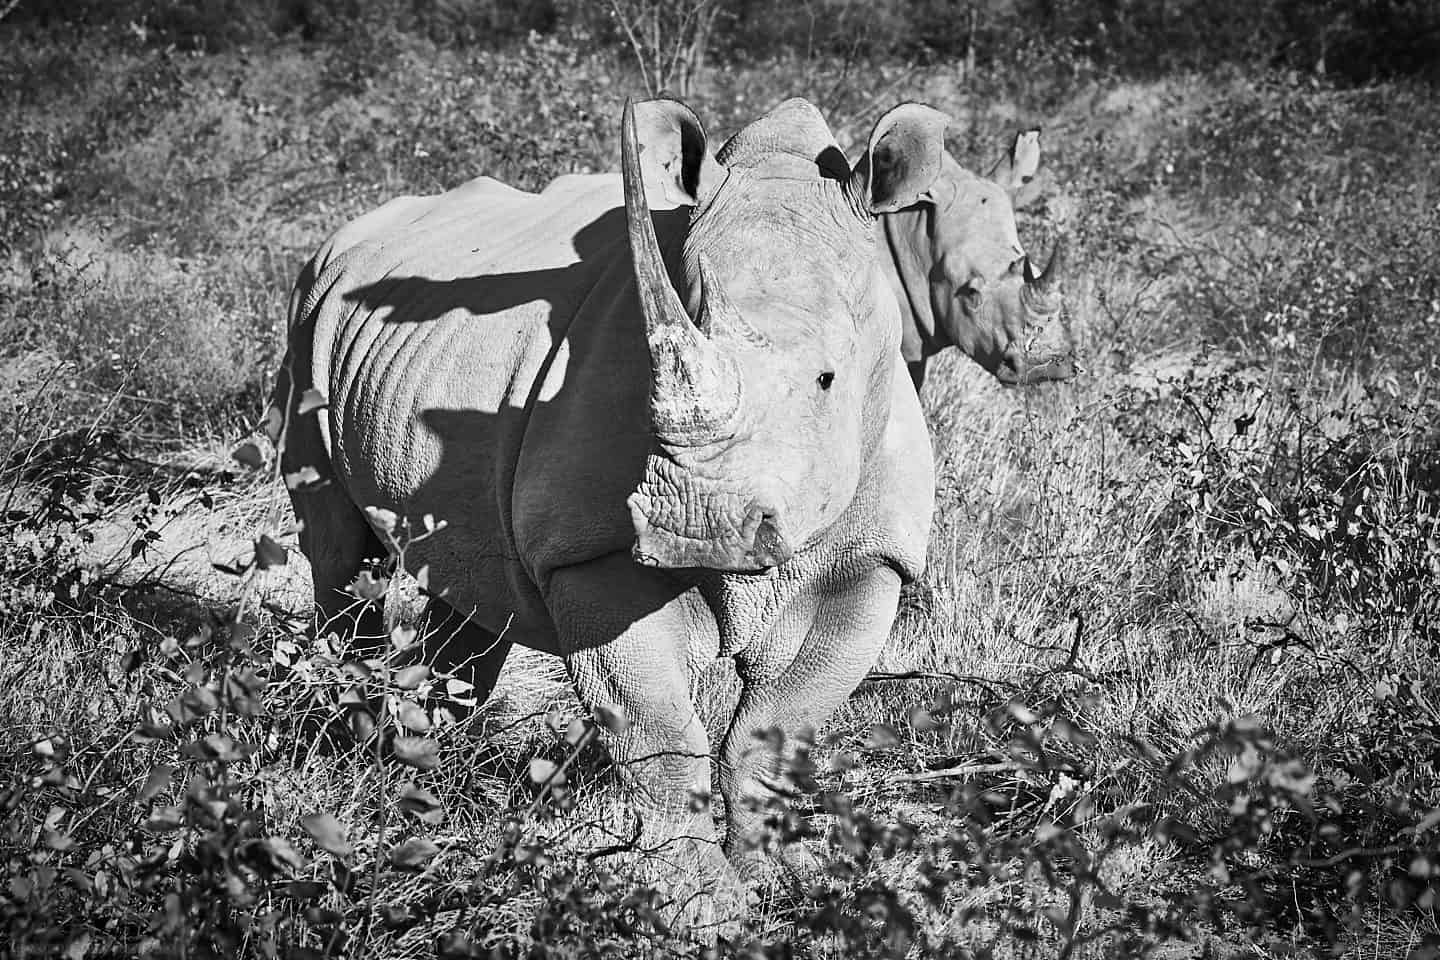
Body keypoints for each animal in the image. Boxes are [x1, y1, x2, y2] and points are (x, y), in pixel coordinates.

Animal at [272, 95, 944, 886]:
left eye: (827, 379)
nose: (695, 529)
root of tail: (345, 237)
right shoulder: (588, 548)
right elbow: (660, 737)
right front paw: (703, 903)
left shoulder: (871, 558)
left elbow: (774, 732)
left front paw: (770, 878)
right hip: (305, 314)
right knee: (340, 554)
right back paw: (344, 760)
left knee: (466, 585)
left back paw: (420, 779)